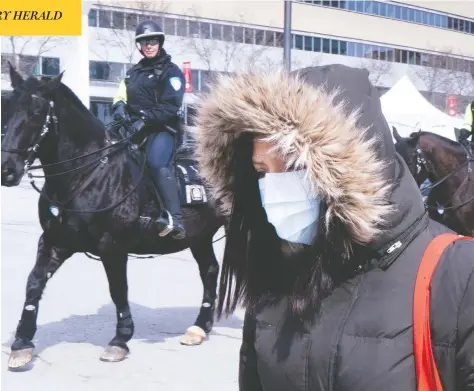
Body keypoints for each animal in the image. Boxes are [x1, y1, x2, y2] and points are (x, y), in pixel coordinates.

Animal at [0, 64, 226, 370]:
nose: (7, 170)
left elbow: (118, 289)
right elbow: (34, 283)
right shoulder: (55, 240)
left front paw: (120, 339)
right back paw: (200, 327)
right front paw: (22, 343)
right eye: (7, 107)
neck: (88, 172)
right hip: (200, 236)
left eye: (37, 111)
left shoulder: (113, 246)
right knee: (209, 270)